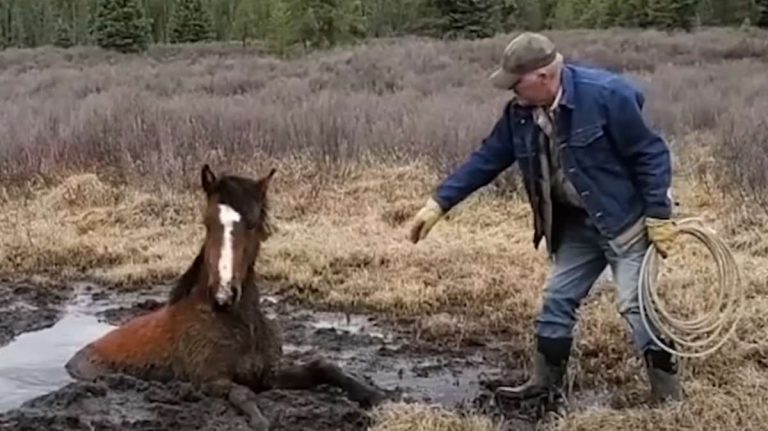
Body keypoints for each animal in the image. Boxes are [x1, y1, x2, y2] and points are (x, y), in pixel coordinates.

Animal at [65, 164, 386, 430]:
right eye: (207, 224)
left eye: (253, 224)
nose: (223, 294)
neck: (234, 324)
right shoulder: (211, 380)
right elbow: (242, 395)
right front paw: (260, 421)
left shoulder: (267, 376)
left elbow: (323, 367)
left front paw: (375, 395)